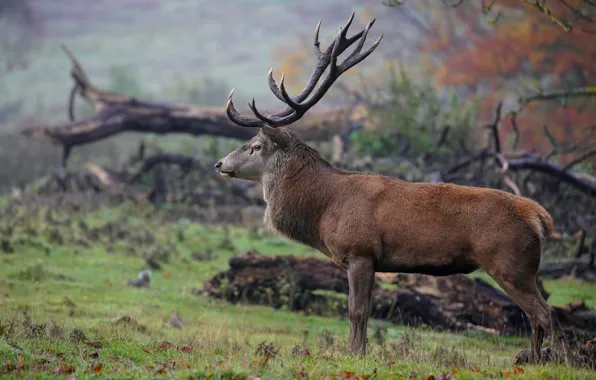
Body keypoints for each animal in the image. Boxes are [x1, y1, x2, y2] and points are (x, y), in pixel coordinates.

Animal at [214, 11, 568, 362]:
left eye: (256, 145)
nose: (219, 164)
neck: (323, 209)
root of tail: (540, 216)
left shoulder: (360, 251)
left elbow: (356, 311)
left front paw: (355, 354)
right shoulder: (370, 260)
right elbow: (365, 310)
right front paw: (360, 351)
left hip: (509, 262)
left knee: (546, 313)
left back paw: (560, 361)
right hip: (526, 268)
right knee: (535, 316)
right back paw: (533, 360)